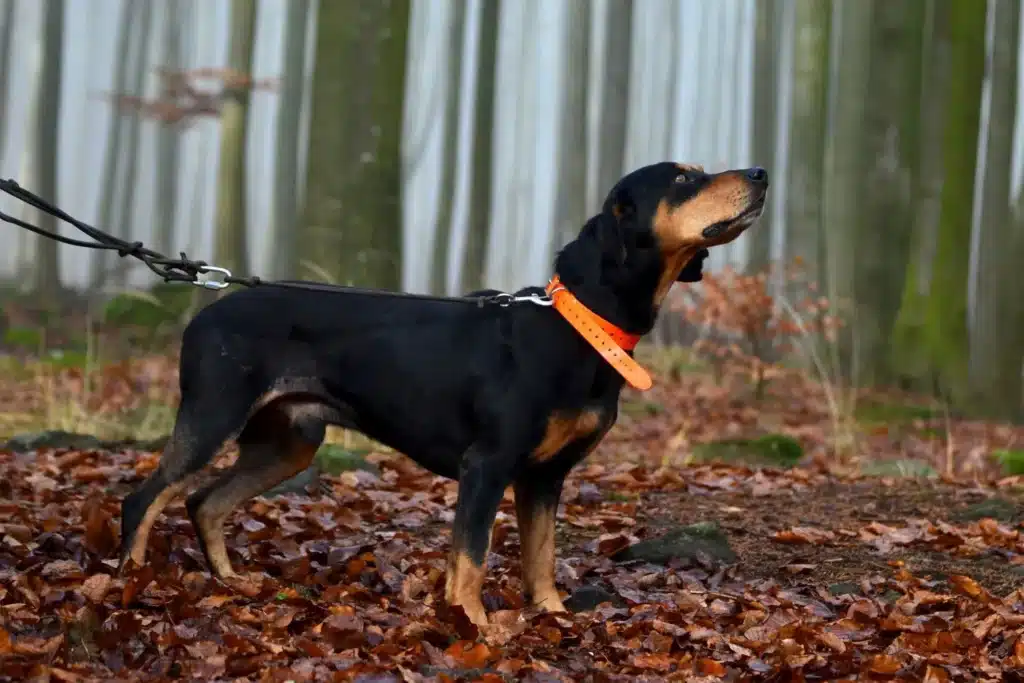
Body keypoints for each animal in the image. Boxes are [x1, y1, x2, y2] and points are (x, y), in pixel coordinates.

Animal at [119, 160, 770, 626]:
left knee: (204, 502)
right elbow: (471, 558)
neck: (581, 325)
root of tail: (205, 313)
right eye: (683, 178)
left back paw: (232, 582)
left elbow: (541, 556)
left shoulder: (545, 476)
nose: (762, 173)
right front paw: (473, 625)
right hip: (215, 413)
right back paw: (128, 584)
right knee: (143, 499)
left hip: (289, 442)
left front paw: (553, 617)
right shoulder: (487, 464)